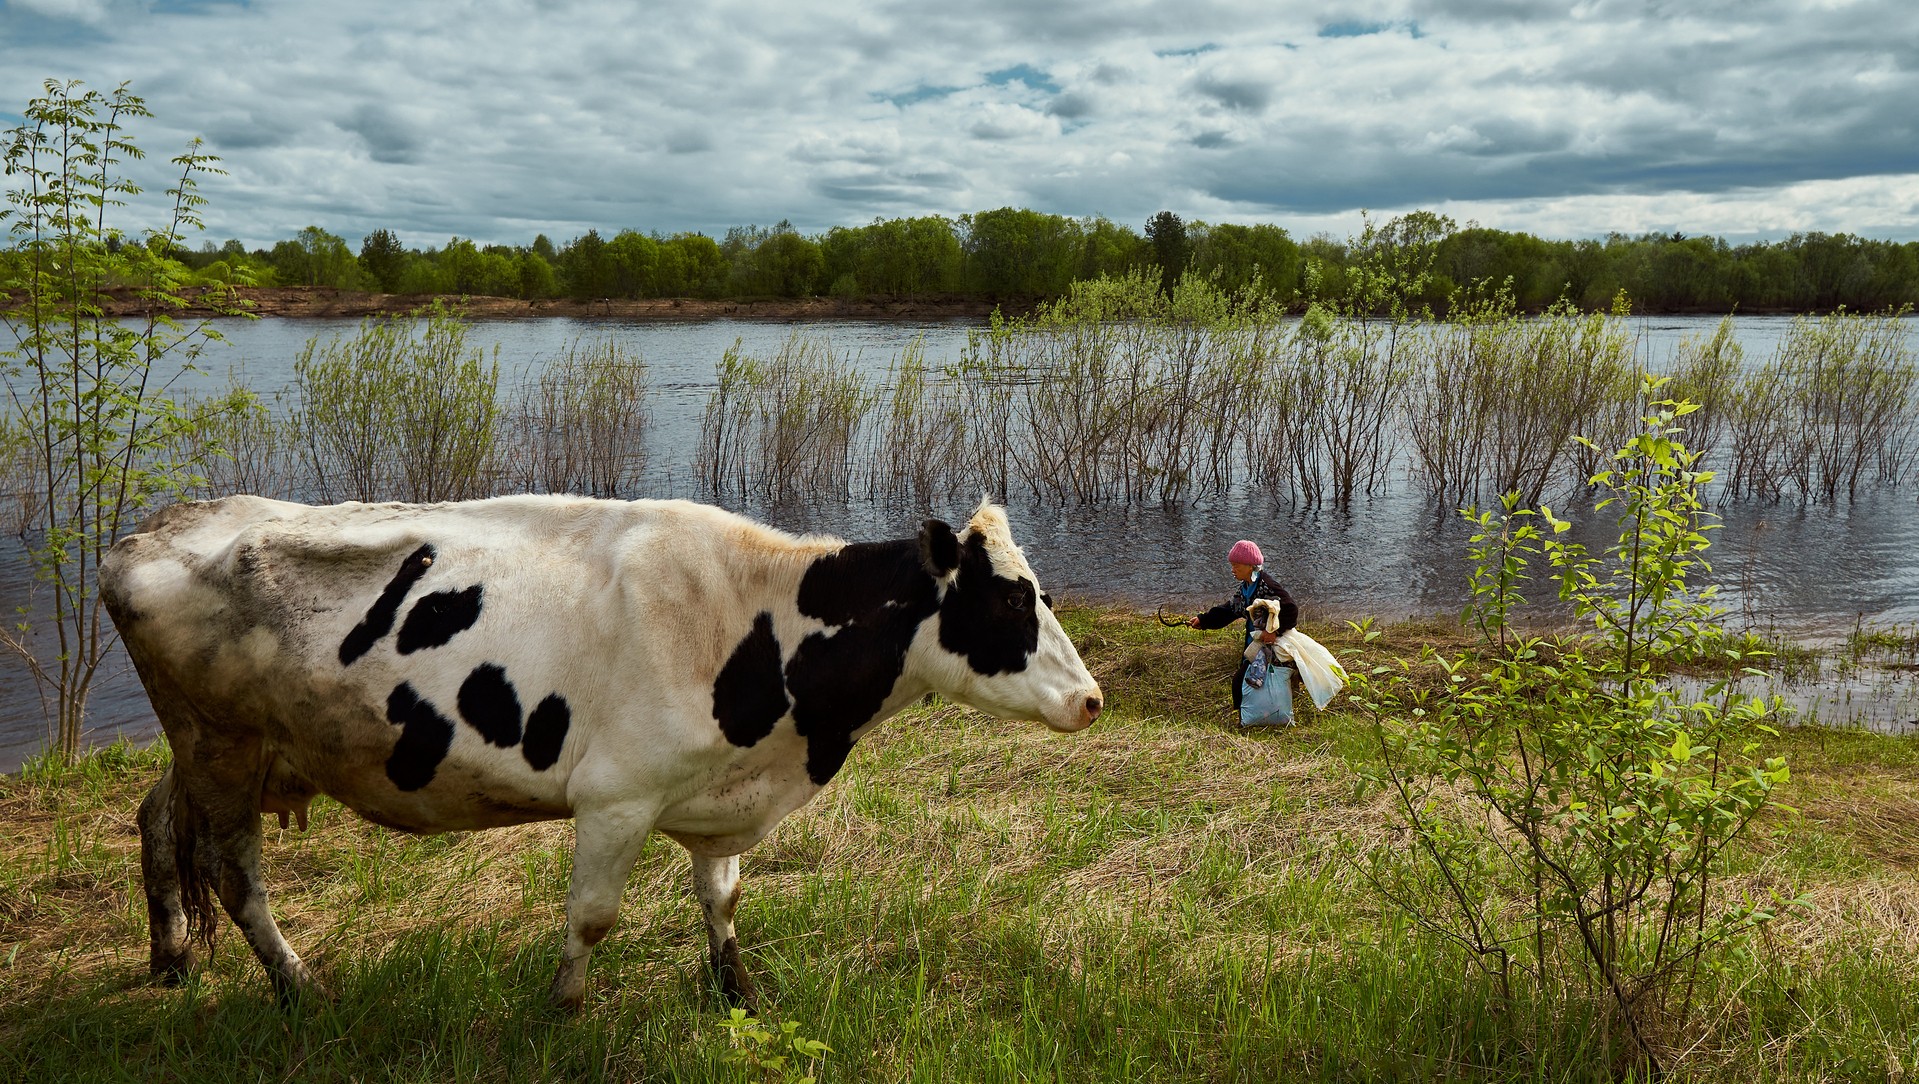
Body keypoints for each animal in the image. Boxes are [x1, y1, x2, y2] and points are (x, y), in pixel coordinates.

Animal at [97, 494, 1105, 1013]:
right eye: (1010, 602)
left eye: (1045, 593)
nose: (1091, 700)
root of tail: (149, 529)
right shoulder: (617, 797)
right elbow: (590, 917)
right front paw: (565, 1009)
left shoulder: (713, 793)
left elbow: (721, 897)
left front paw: (738, 991)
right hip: (222, 745)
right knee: (234, 872)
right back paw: (299, 985)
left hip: (216, 748)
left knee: (155, 822)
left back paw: (170, 956)